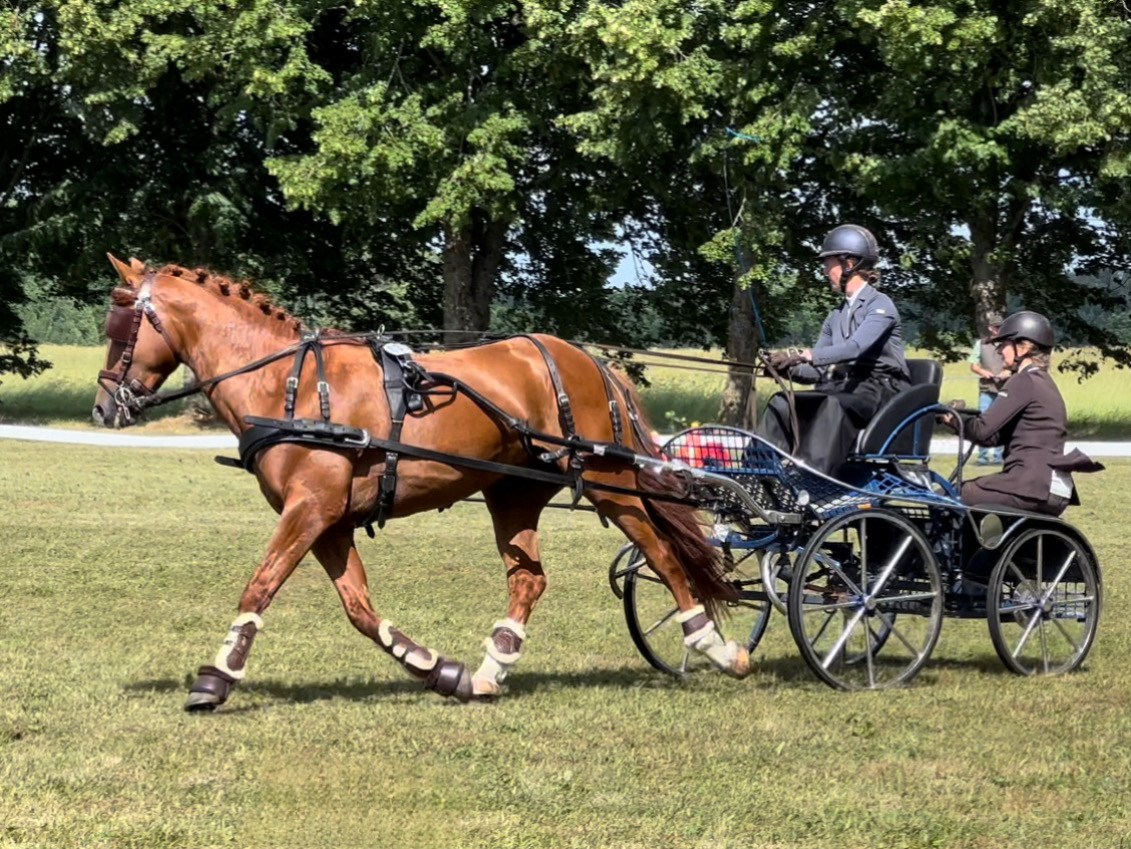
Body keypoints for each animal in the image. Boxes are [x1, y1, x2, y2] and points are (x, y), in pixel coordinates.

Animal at [95, 254, 750, 709]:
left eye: (119, 323)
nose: (105, 408)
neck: (289, 385)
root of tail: (588, 359)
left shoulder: (311, 508)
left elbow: (259, 587)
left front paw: (215, 678)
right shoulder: (329, 521)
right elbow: (360, 610)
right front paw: (441, 670)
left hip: (612, 480)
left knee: (662, 554)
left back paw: (714, 646)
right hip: (513, 492)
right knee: (529, 579)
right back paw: (490, 671)